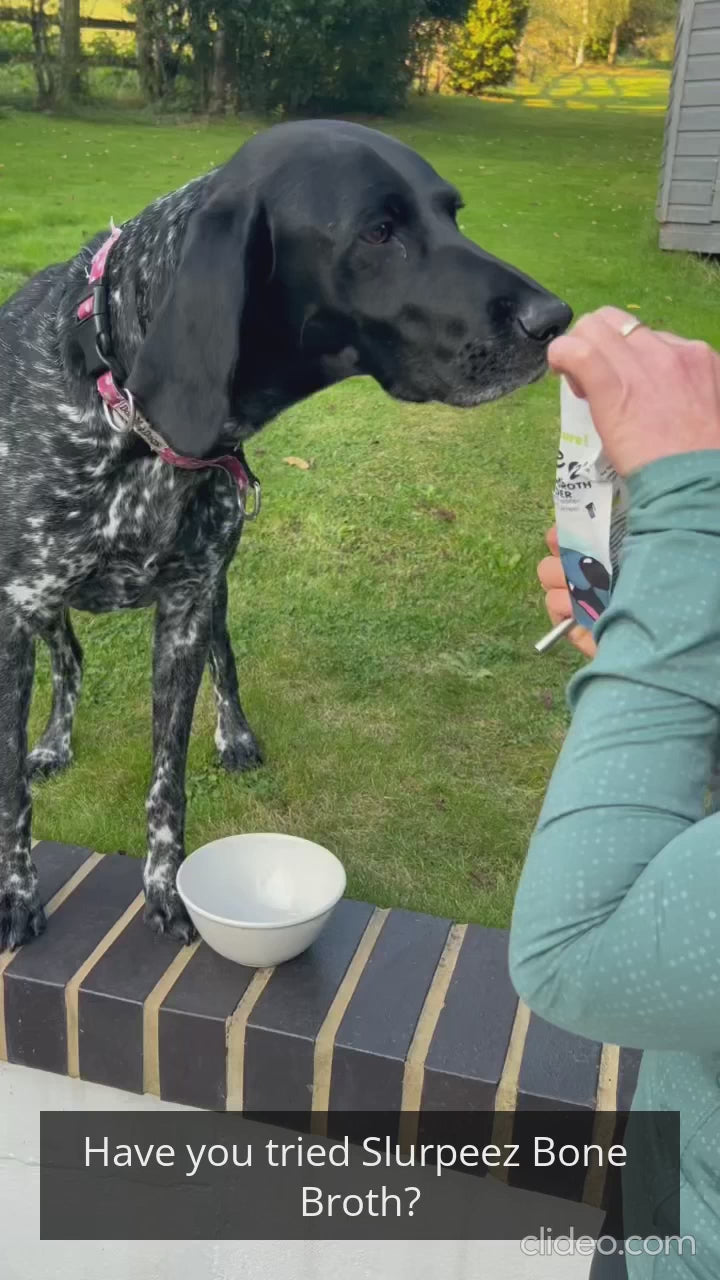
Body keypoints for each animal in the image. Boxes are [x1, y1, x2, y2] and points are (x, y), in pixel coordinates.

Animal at [1, 120, 571, 952]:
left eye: (453, 214)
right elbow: (10, 787)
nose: (555, 319)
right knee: (69, 660)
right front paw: (17, 893)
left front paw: (167, 891)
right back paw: (56, 742)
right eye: (378, 230)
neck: (120, 402)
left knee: (220, 662)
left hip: (213, 590)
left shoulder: (186, 606)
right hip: (45, 609)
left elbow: (168, 781)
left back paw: (232, 735)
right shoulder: (15, 612)